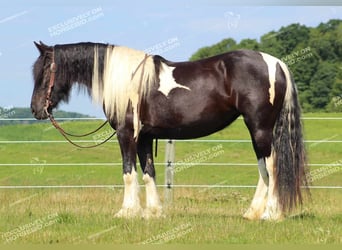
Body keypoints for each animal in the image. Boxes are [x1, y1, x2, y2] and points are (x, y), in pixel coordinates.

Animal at [31, 41, 310, 221]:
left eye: (44, 71)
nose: (36, 109)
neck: (125, 80)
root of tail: (276, 63)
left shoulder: (126, 134)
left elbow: (128, 172)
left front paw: (126, 212)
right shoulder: (144, 137)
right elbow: (148, 173)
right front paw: (153, 212)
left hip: (260, 128)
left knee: (272, 166)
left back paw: (271, 214)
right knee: (264, 168)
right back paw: (252, 213)